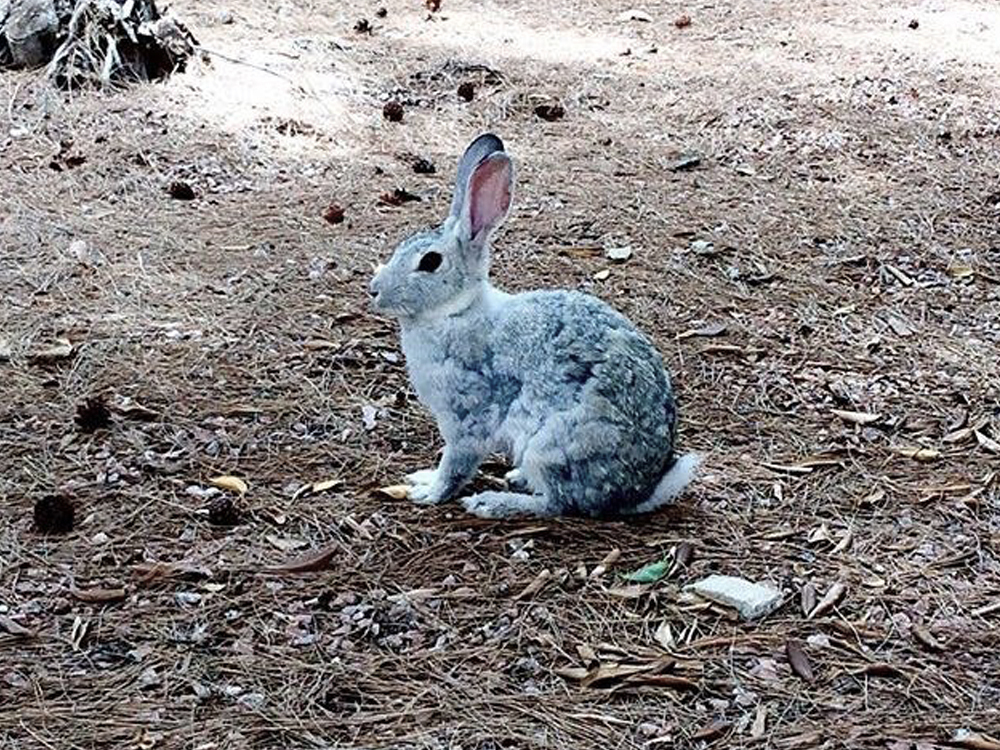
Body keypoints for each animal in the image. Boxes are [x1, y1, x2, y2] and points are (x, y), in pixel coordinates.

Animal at [366, 134, 696, 516]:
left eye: (430, 262)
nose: (374, 290)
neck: (456, 311)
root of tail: (638, 492)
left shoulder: (467, 415)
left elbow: (456, 463)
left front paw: (429, 492)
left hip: (551, 444)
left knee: (557, 503)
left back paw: (493, 502)